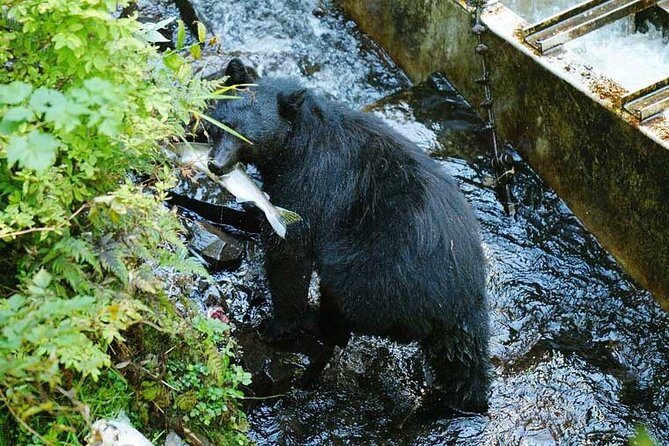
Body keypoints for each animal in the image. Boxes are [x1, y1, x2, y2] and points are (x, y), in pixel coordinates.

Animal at [209, 59, 490, 414]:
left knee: (342, 306)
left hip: (372, 275)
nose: (216, 164)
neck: (295, 141)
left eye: (246, 137)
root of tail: (462, 305)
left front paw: (274, 324)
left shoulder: (309, 183)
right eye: (221, 124)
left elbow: (290, 250)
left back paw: (318, 321)